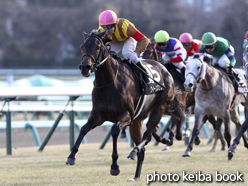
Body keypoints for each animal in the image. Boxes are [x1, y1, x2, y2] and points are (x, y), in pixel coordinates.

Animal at [65, 29, 185, 181]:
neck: (109, 82)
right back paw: (136, 175)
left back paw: (134, 151)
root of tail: (165, 70)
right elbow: (83, 129)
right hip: (137, 121)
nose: (85, 67)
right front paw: (71, 156)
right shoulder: (98, 115)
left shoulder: (127, 115)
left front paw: (114, 166)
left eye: (97, 47)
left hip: (159, 108)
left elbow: (115, 130)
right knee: (143, 148)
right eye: (82, 46)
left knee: (147, 135)